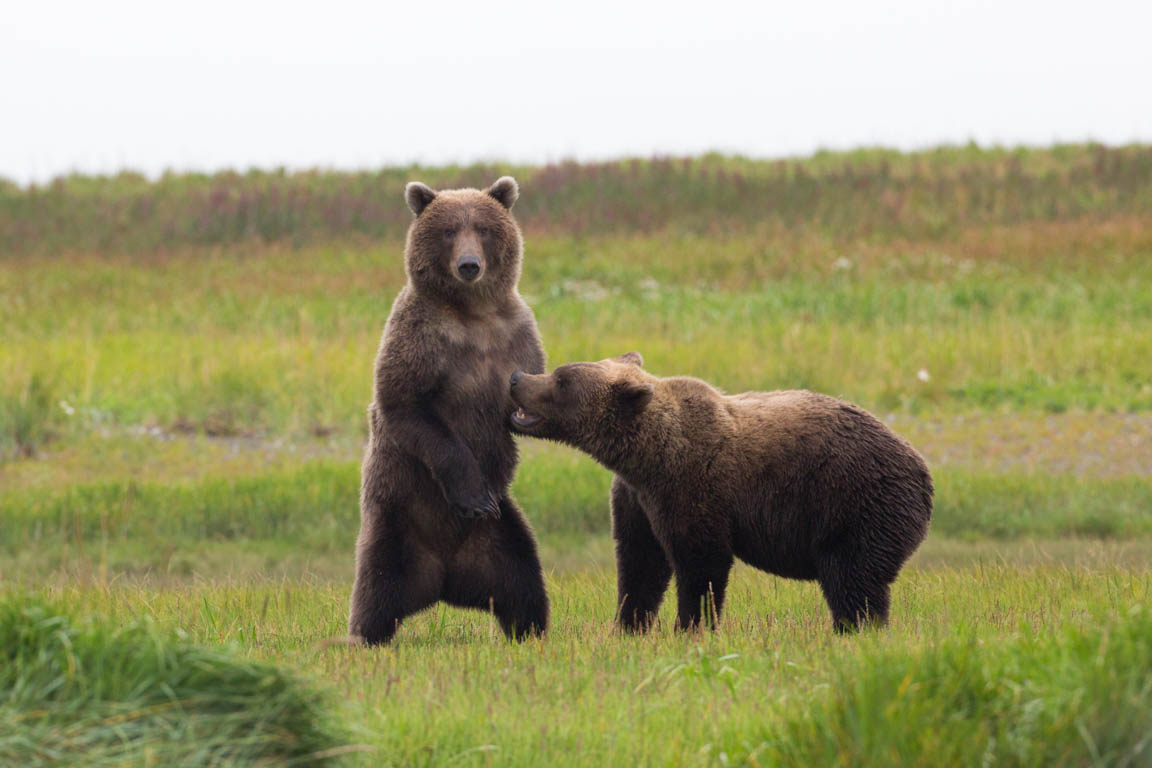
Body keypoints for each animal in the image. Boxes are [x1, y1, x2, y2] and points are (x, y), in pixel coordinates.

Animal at [345, 177, 548, 644]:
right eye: (449, 231)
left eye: (484, 229)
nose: (469, 265)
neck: (475, 313)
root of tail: (444, 579)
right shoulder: (420, 338)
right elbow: (409, 407)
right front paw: (472, 496)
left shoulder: (518, 335)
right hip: (396, 518)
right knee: (376, 587)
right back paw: (365, 636)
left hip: (501, 534)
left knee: (524, 580)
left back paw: (530, 630)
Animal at [509, 352, 930, 630]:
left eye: (561, 380)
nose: (516, 378)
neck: (645, 458)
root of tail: (923, 469)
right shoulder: (636, 498)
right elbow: (639, 561)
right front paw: (629, 625)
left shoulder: (692, 486)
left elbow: (701, 564)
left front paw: (690, 627)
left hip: (857, 504)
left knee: (853, 580)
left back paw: (856, 629)